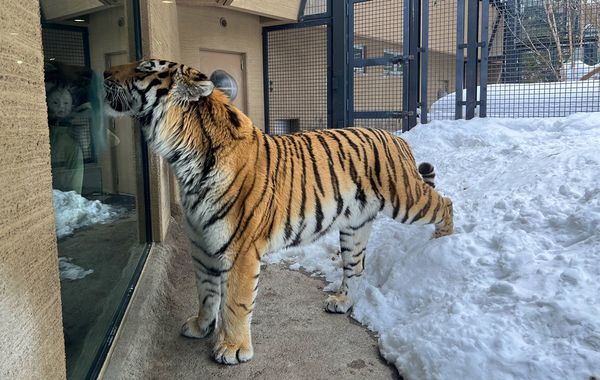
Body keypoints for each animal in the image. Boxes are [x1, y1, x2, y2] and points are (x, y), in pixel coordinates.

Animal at [103, 58, 452, 366]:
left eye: (145, 67)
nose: (103, 71)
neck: (182, 158)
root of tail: (395, 137)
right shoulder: (201, 245)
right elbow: (205, 291)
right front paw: (201, 326)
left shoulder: (240, 249)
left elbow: (235, 301)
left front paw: (232, 348)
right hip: (354, 227)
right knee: (356, 269)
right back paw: (342, 302)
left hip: (406, 200)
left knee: (444, 203)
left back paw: (443, 241)